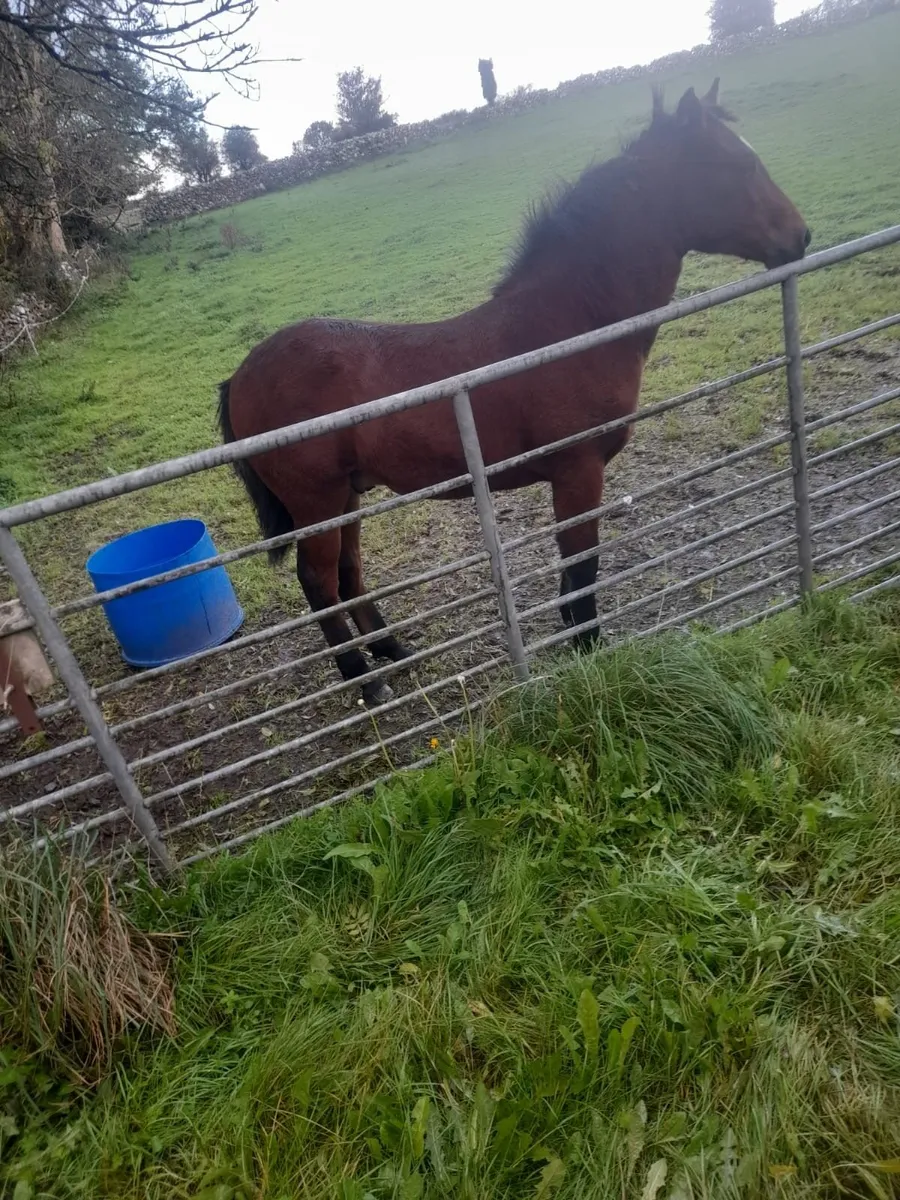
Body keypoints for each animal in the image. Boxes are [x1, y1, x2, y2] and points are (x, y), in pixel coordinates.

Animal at [218, 79, 810, 706]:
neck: (569, 324)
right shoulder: (579, 470)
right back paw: (363, 678)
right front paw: (589, 647)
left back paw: (392, 650)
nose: (801, 236)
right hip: (318, 504)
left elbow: (572, 569)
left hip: (349, 496)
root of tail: (242, 374)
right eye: (740, 164)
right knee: (318, 581)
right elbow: (582, 564)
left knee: (348, 573)